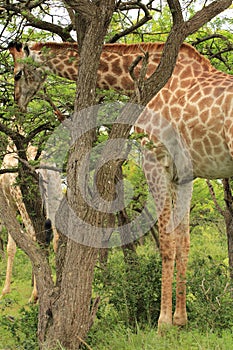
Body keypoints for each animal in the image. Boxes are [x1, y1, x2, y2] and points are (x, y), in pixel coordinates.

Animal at [8, 41, 233, 328]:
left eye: (17, 74)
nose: (18, 103)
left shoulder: (154, 160)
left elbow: (166, 241)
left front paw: (163, 322)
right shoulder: (184, 176)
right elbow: (183, 241)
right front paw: (181, 319)